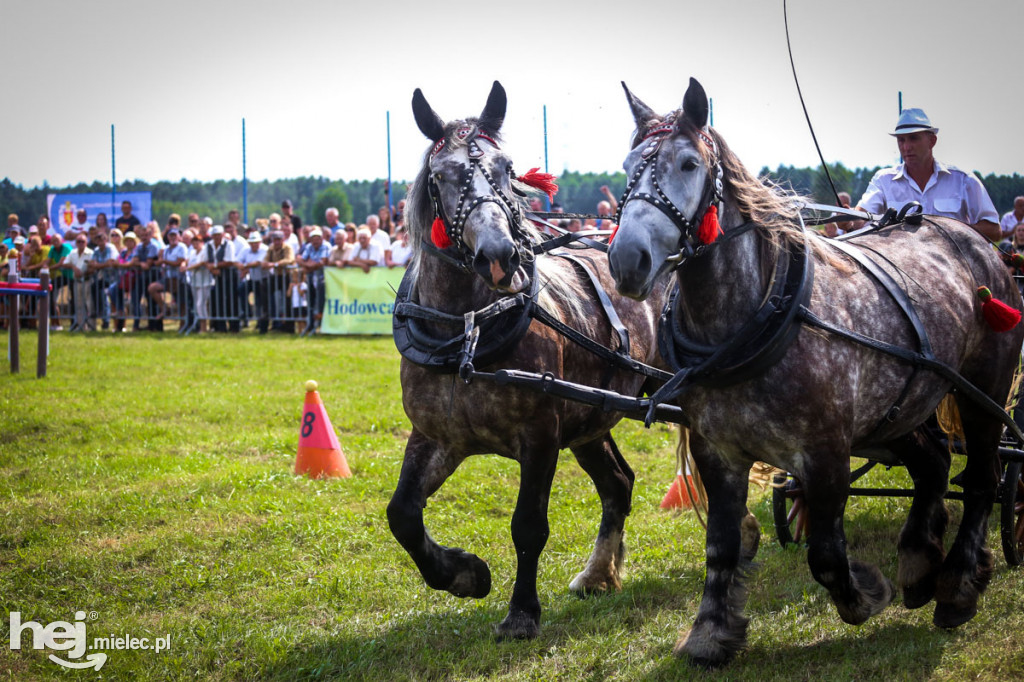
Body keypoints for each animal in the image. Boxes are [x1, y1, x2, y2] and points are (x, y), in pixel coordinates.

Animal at [387, 83, 667, 638]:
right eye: (440, 176)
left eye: (506, 167)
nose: (499, 254)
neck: (468, 329)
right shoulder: (436, 435)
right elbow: (403, 515)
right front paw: (465, 574)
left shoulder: (541, 436)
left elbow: (528, 525)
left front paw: (521, 612)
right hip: (590, 416)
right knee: (618, 484)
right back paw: (598, 574)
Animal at [606, 78, 1024, 663]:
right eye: (626, 166)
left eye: (688, 163)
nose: (627, 261)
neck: (754, 313)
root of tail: (977, 241)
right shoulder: (718, 452)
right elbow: (722, 546)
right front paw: (710, 633)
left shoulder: (826, 452)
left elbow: (826, 553)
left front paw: (866, 596)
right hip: (898, 407)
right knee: (935, 464)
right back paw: (920, 563)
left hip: (984, 388)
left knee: (982, 478)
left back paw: (957, 586)